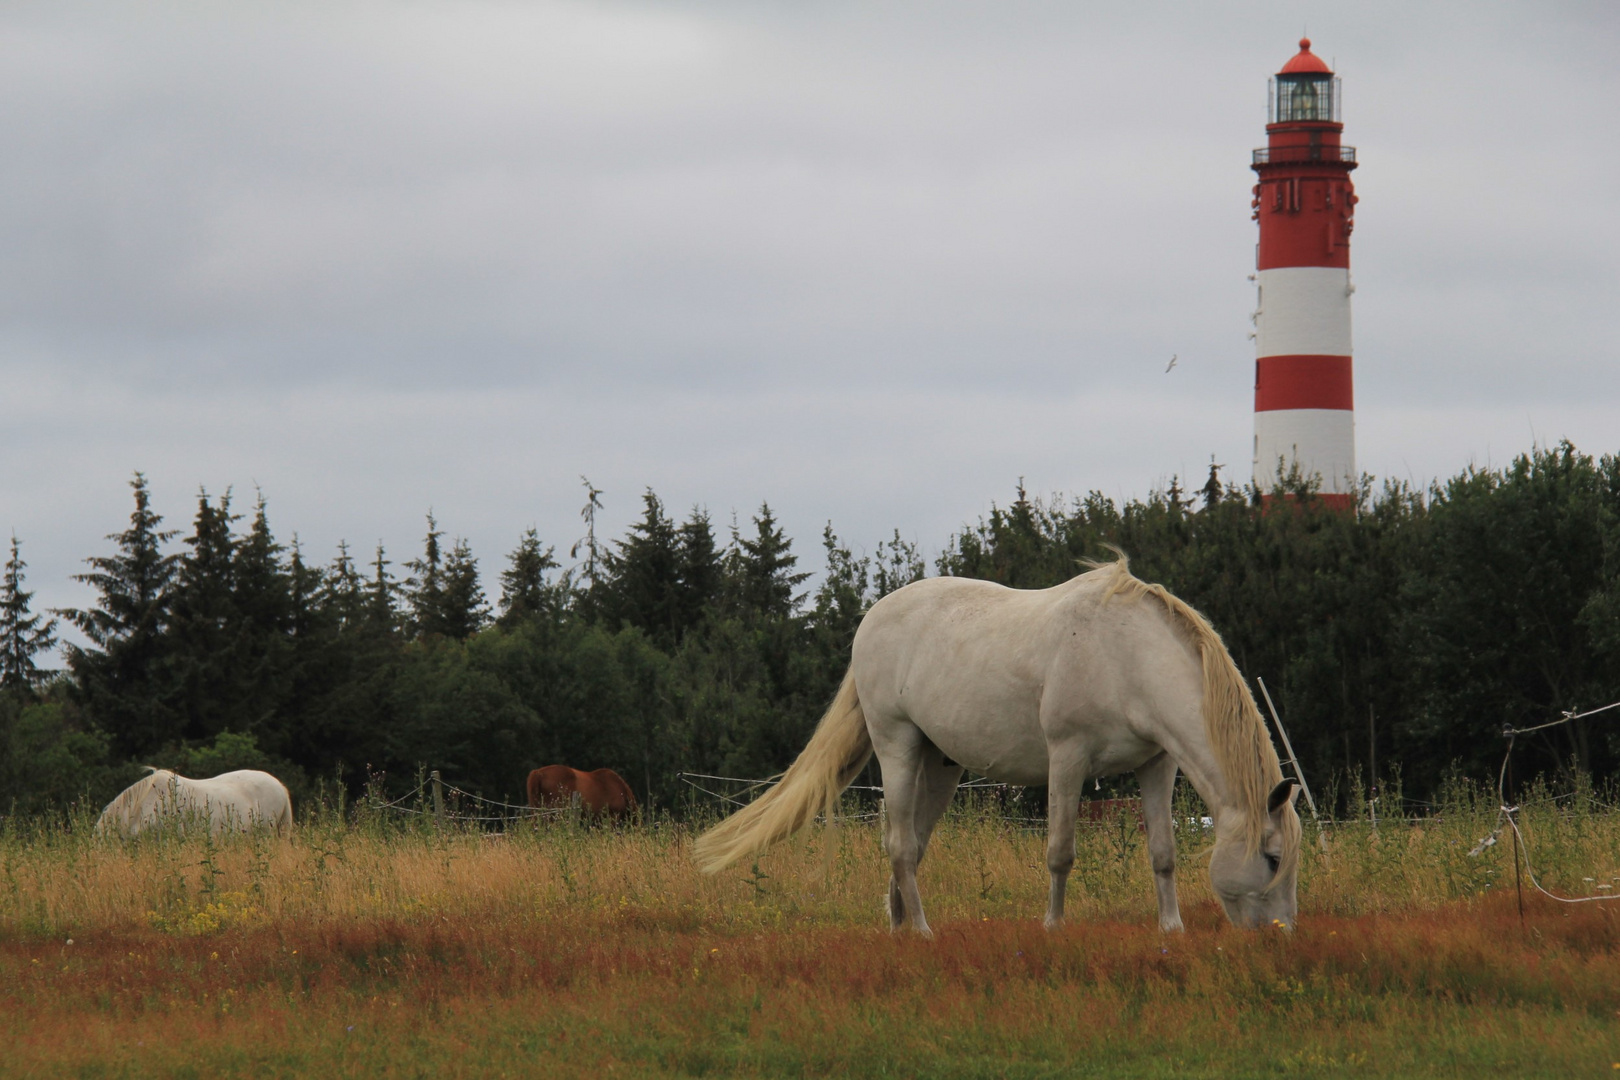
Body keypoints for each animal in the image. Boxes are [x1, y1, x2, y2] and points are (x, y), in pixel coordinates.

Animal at [696, 553, 1302, 932]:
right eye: (1272, 858)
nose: (1279, 933)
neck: (1126, 656)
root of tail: (872, 619)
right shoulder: (1067, 757)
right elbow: (1060, 852)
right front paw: (1053, 926)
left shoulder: (1157, 766)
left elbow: (1163, 852)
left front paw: (1171, 930)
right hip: (897, 748)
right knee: (899, 845)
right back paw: (922, 931)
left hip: (939, 766)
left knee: (911, 847)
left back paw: (899, 928)